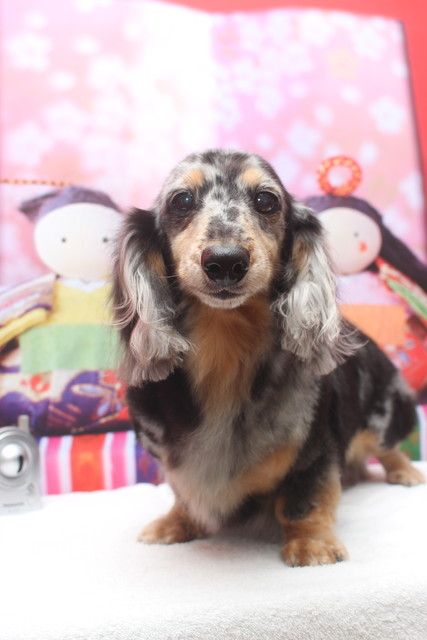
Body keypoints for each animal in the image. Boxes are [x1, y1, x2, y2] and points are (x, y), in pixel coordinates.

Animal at [111, 149, 424, 566]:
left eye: (266, 200)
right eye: (182, 200)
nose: (225, 262)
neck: (225, 351)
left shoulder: (314, 447)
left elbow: (303, 499)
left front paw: (311, 544)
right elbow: (183, 494)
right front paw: (176, 522)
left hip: (383, 415)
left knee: (387, 448)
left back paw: (405, 473)